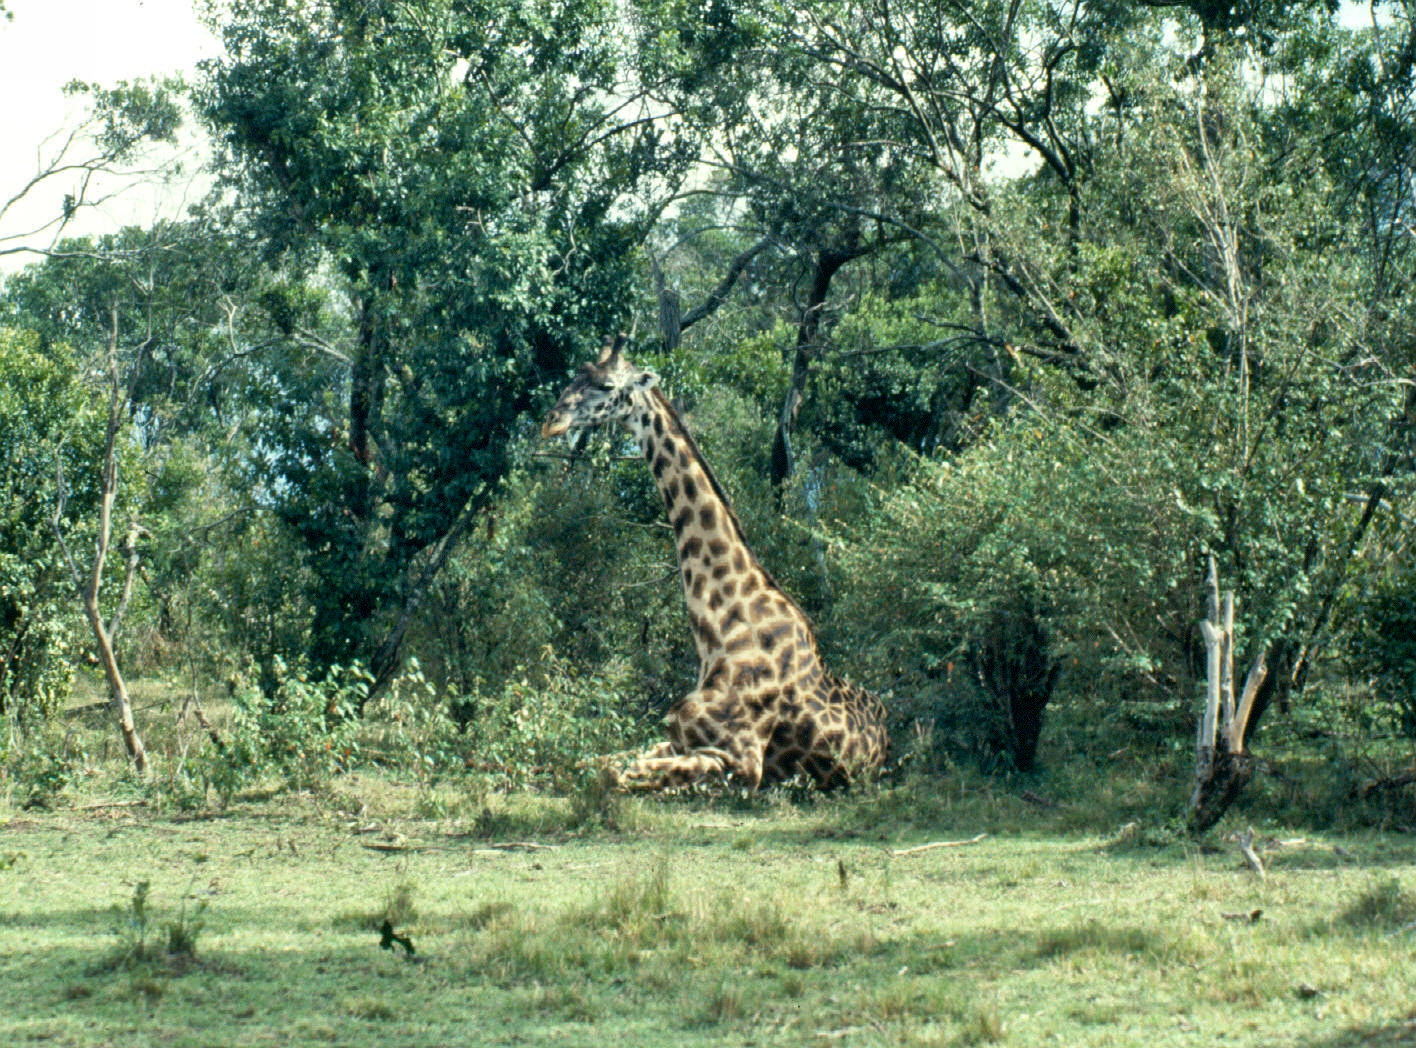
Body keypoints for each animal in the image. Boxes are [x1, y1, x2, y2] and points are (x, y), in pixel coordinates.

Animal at [541, 334, 890, 790]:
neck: (718, 632)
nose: (551, 422)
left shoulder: (742, 762)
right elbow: (585, 761)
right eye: (576, 374)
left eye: (606, 386)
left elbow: (614, 773)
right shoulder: (674, 736)